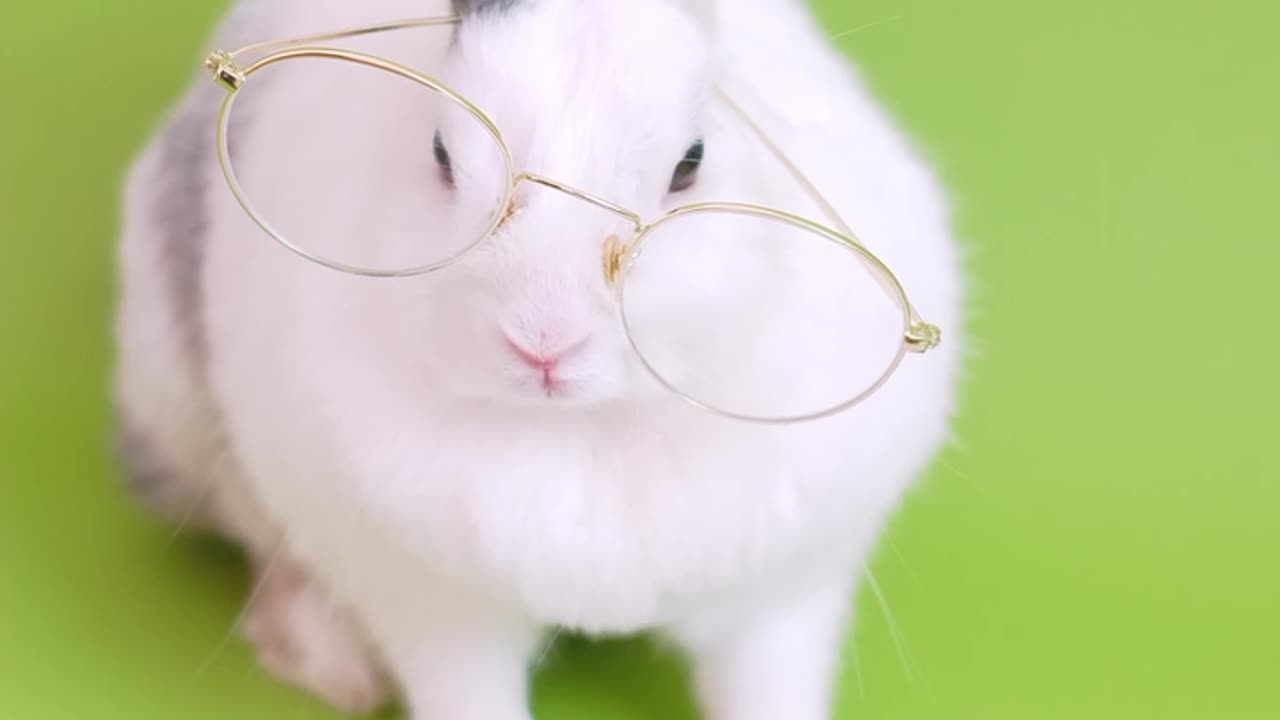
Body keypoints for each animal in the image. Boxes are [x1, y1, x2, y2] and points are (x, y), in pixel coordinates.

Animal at [112, 0, 965, 718]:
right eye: (440, 154)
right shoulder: (437, 616)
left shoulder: (779, 606)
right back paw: (337, 669)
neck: (583, 431)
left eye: (690, 164)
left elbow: (767, 689)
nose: (542, 340)